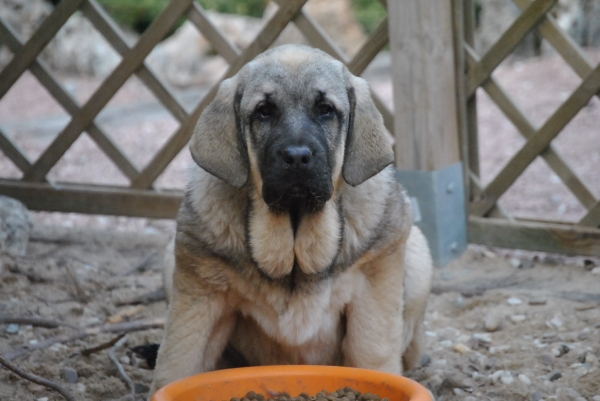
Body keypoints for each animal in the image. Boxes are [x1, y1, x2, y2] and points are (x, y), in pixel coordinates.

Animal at [149, 43, 432, 394]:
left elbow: (371, 353)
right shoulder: (200, 294)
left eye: (325, 110)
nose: (297, 157)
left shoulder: (374, 283)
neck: (295, 245)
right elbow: (179, 361)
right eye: (264, 111)